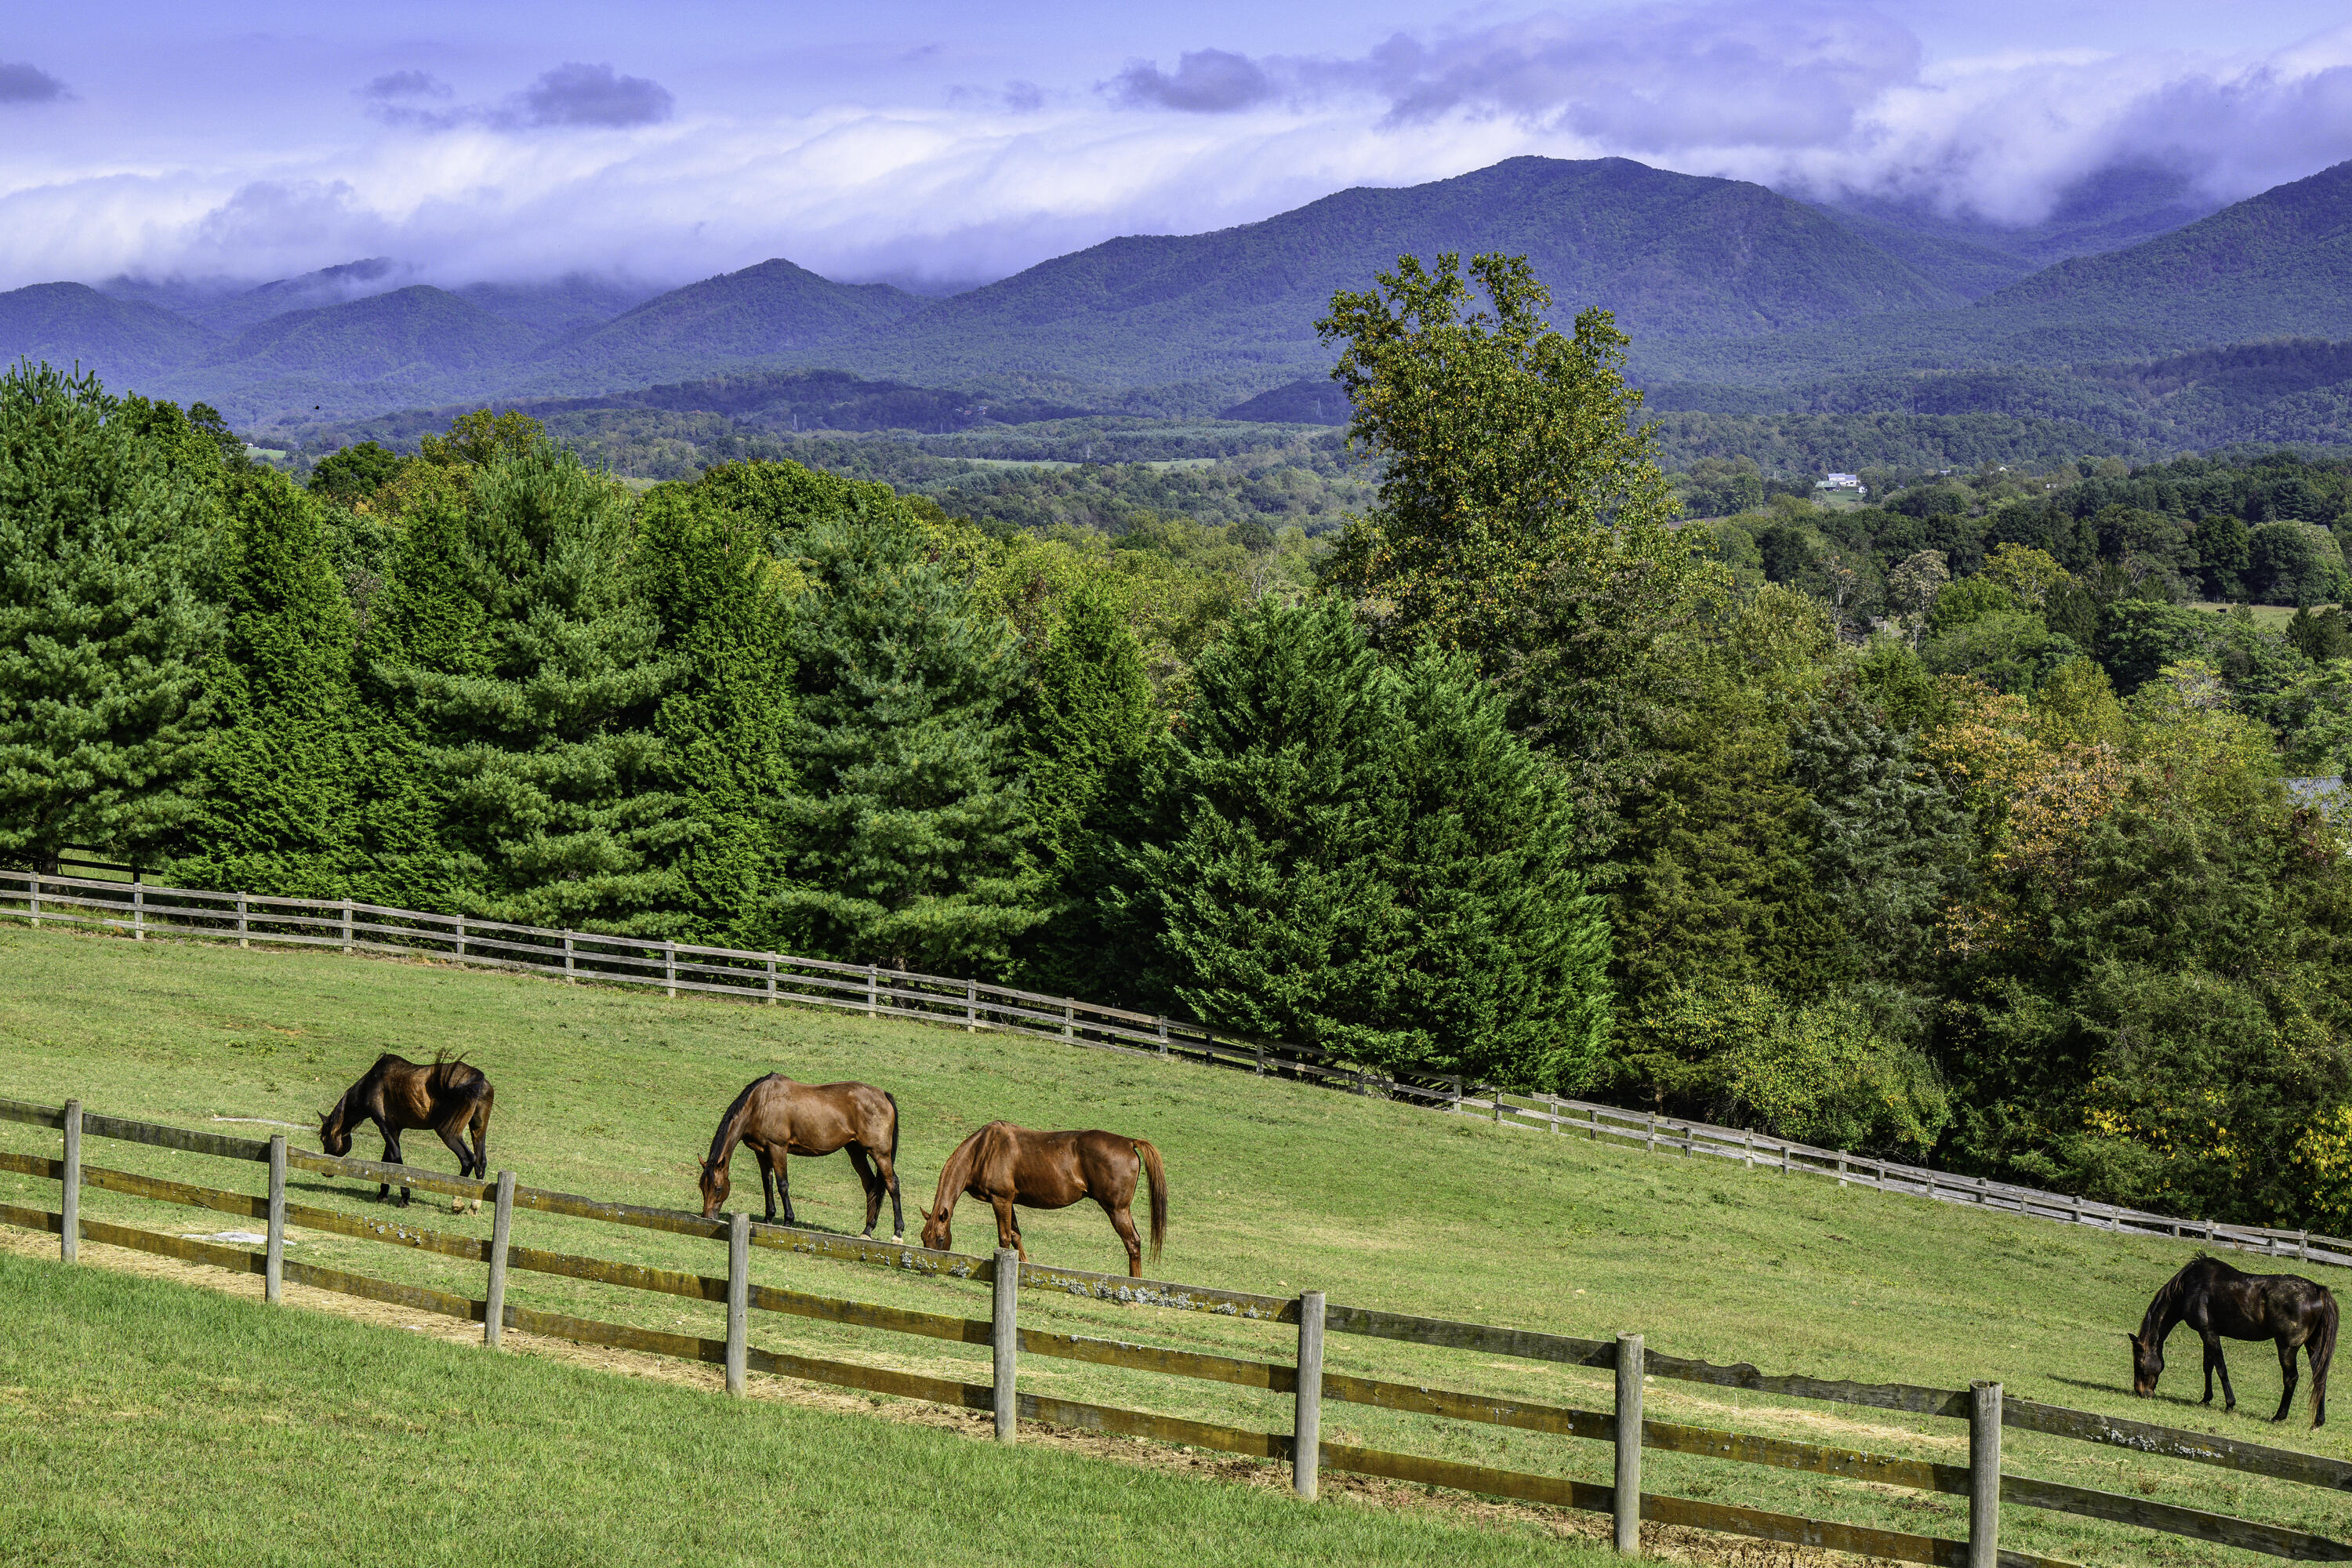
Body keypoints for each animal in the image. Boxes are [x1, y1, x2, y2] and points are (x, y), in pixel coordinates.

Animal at [319, 1053, 495, 1212]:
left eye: (323, 1138)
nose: (324, 1172)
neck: (371, 1084)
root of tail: (478, 1078)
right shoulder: (394, 1129)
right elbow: (388, 1161)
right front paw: (382, 1195)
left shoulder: (385, 1127)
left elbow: (397, 1160)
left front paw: (404, 1198)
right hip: (478, 1131)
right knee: (480, 1162)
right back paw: (474, 1205)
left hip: (449, 1134)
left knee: (468, 1159)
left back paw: (457, 1202)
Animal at [697, 1075, 904, 1240]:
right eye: (702, 1187)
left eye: (718, 1188)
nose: (707, 1218)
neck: (761, 1103)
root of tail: (883, 1094)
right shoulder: (761, 1152)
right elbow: (767, 1183)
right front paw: (768, 1217)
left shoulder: (778, 1148)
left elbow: (782, 1185)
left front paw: (788, 1220)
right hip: (856, 1151)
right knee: (870, 1186)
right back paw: (867, 1230)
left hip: (880, 1153)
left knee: (892, 1183)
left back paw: (897, 1233)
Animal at [919, 1121, 1166, 1278]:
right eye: (923, 1238)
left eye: (940, 1239)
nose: (927, 1270)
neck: (984, 1149)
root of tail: (1128, 1142)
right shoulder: (1009, 1202)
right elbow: (1016, 1236)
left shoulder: (1001, 1200)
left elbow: (1005, 1238)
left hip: (1117, 1210)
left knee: (1132, 1242)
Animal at [2128, 1254, 2338, 1427]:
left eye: (2139, 1363)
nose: (2141, 1392)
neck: (2188, 1286)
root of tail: (2318, 1290)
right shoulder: (2207, 1334)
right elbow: (2208, 1367)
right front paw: (2206, 1399)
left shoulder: (2209, 1333)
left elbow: (2221, 1368)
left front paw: (2230, 1404)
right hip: (2313, 1346)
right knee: (2320, 1376)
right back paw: (2318, 1421)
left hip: (2287, 1347)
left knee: (2291, 1378)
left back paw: (2279, 1416)